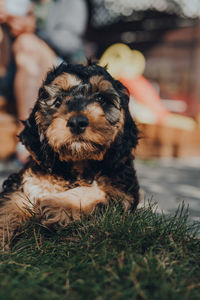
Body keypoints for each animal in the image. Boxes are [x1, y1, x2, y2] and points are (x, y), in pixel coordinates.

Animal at [0, 62, 139, 246]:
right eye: (58, 101)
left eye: (101, 99)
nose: (77, 122)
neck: (77, 163)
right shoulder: (26, 179)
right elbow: (9, 204)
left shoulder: (123, 189)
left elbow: (99, 190)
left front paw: (57, 204)